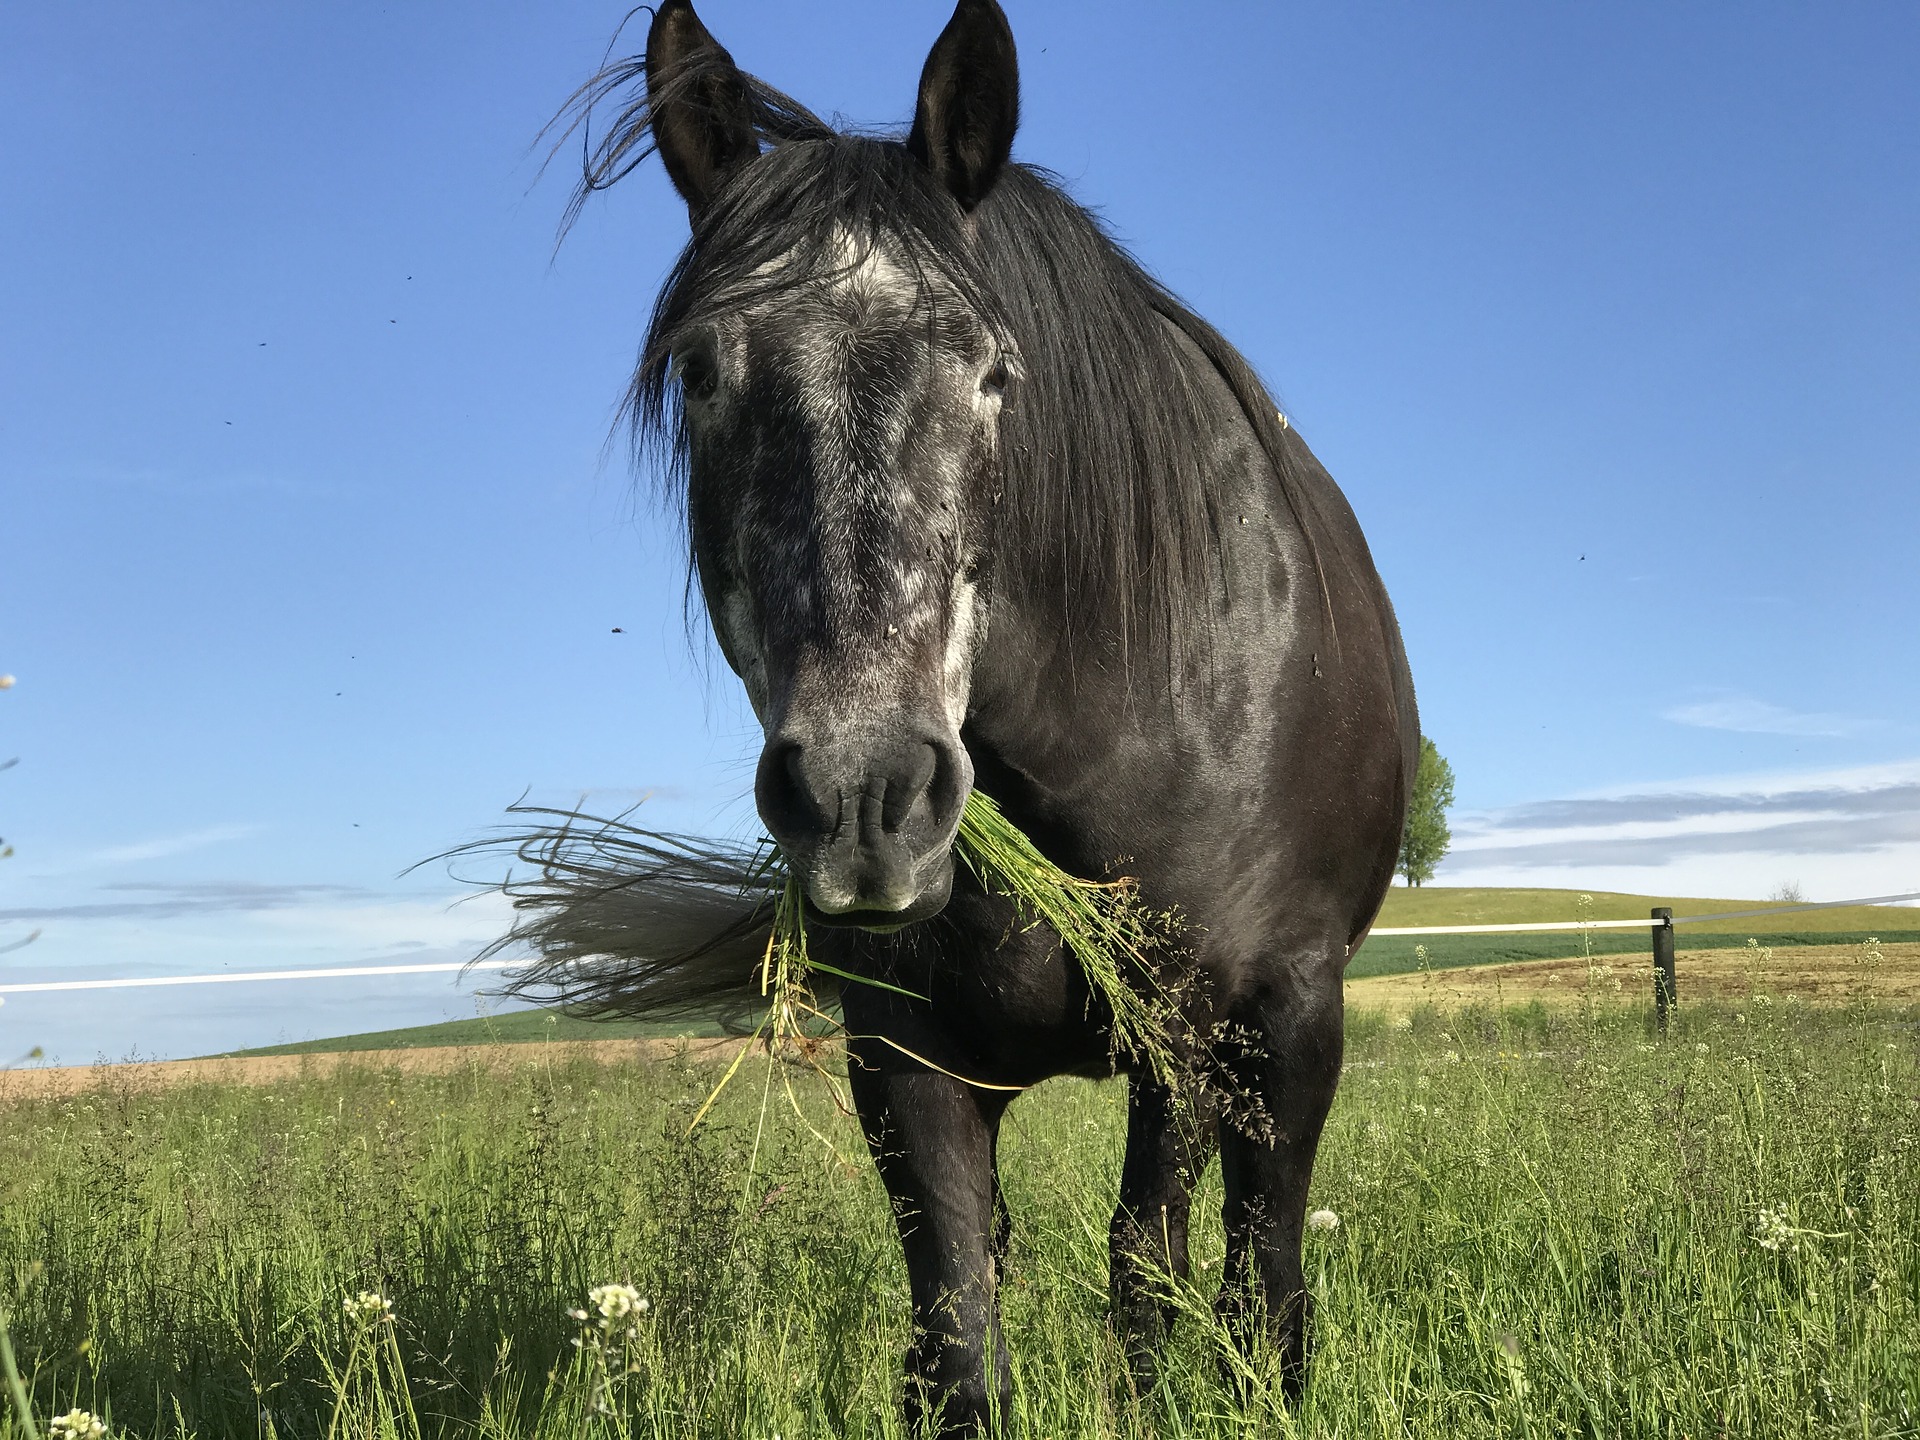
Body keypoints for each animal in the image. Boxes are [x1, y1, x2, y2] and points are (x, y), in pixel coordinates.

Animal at [549, 0, 1420, 1436]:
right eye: (706, 375)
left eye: (994, 372)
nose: (865, 800)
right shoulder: (906, 1056)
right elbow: (958, 1321)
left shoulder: (1181, 1026)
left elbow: (1145, 1279)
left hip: (1289, 1028)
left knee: (1263, 1261)